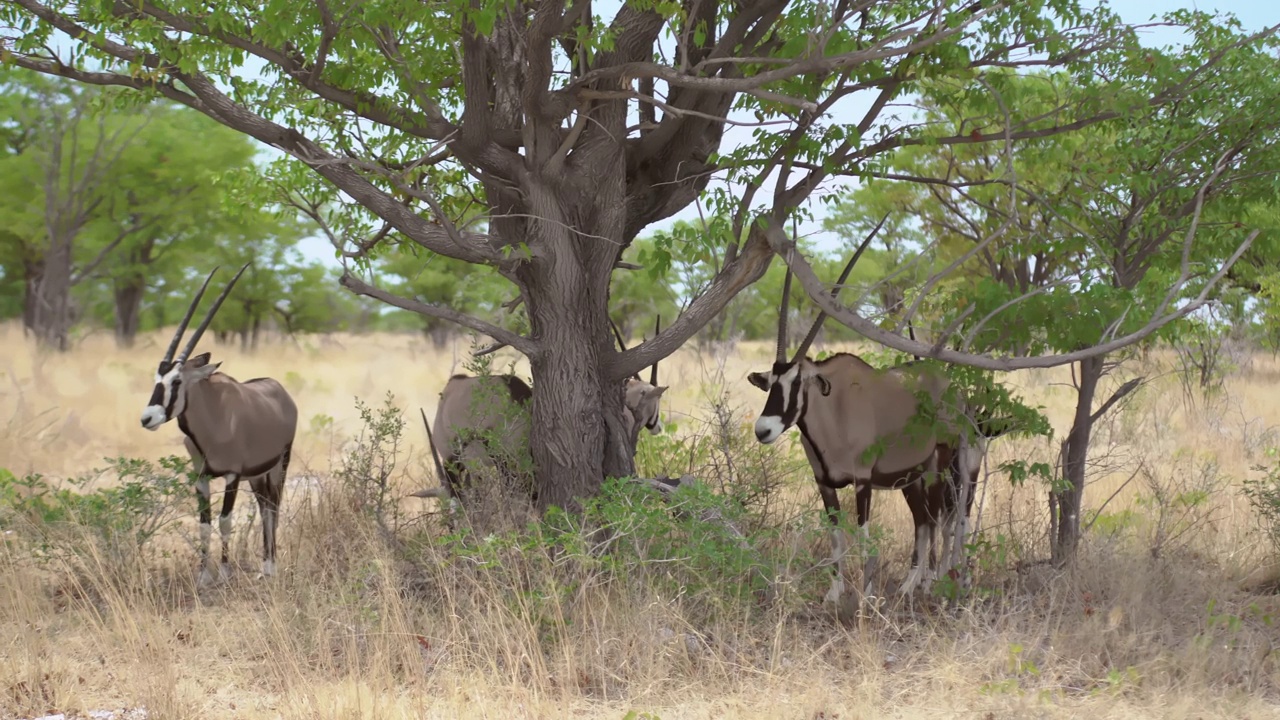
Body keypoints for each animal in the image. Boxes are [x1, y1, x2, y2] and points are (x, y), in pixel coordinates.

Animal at [140, 263, 299, 584]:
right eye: (156, 380)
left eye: (176, 381)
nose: (147, 418)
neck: (212, 421)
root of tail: (279, 390)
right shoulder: (201, 477)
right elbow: (204, 523)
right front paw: (203, 575)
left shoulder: (231, 476)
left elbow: (225, 520)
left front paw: (224, 573)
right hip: (257, 475)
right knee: (265, 508)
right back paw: (265, 564)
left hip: (280, 465)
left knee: (274, 507)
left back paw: (271, 565)